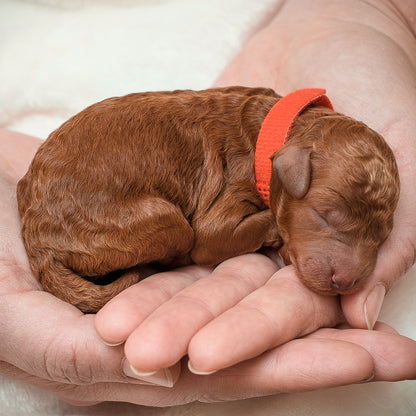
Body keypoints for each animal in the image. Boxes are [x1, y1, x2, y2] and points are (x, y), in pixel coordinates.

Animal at [16, 87, 400, 312]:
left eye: (381, 236)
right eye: (324, 215)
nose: (346, 283)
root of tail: (38, 246)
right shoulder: (224, 208)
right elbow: (229, 232)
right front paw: (278, 238)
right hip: (163, 220)